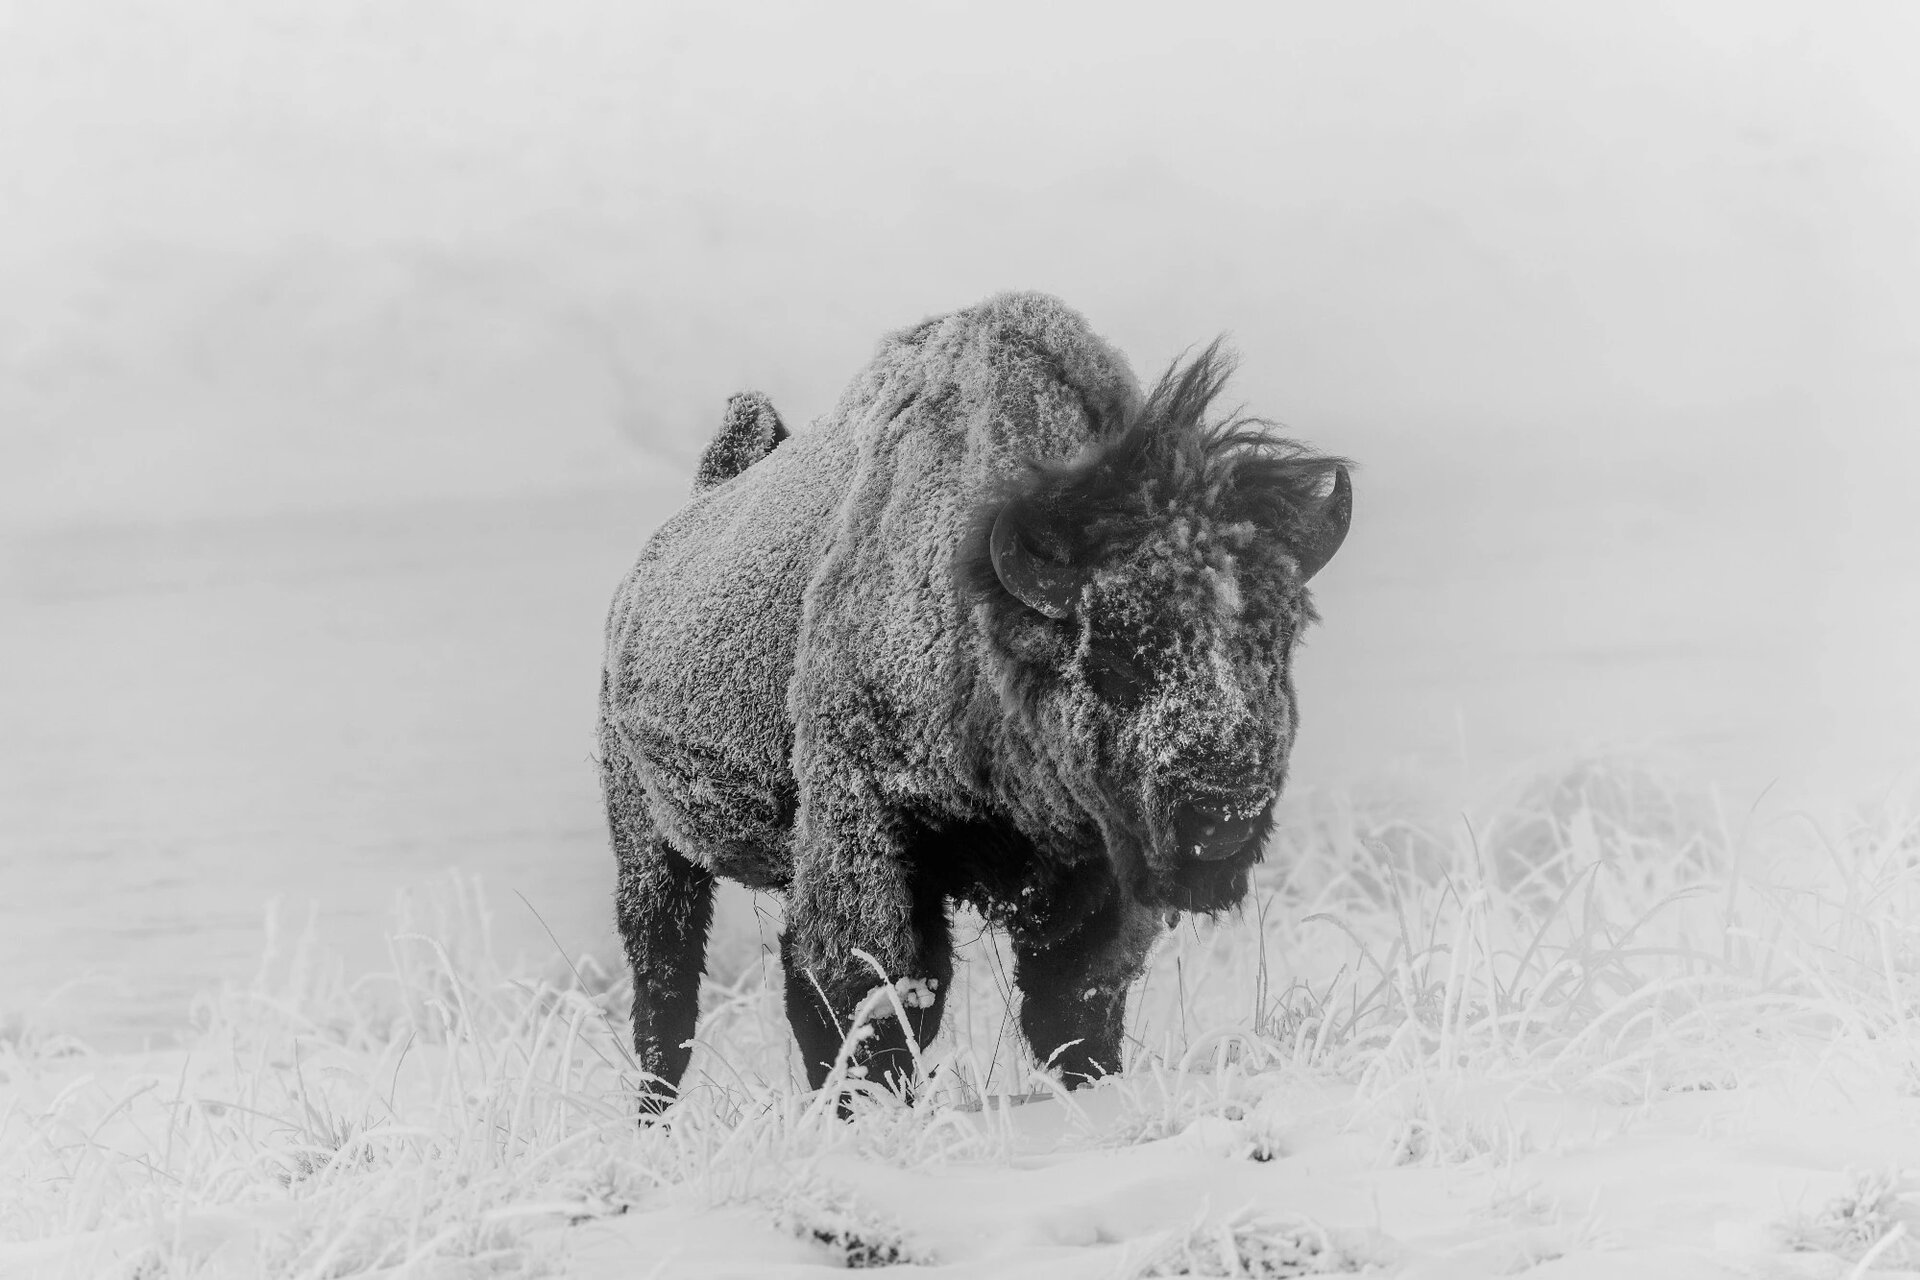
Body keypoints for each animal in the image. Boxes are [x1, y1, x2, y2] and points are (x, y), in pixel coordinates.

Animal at [598, 293, 1351, 1109]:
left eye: (1278, 640)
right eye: (1114, 655)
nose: (1223, 809)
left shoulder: (1095, 867)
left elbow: (1075, 1002)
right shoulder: (863, 826)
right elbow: (870, 995)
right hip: (650, 847)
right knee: (666, 989)